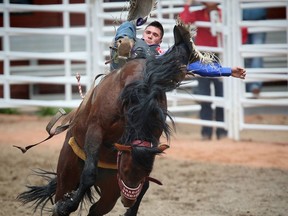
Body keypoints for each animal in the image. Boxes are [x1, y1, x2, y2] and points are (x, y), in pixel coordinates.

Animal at [16, 22, 209, 215]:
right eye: (125, 169)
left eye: (145, 171)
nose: (128, 201)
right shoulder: (96, 130)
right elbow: (88, 174)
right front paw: (67, 205)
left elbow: (146, 184)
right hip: (67, 171)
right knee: (64, 191)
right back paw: (63, 204)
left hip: (109, 192)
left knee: (95, 210)